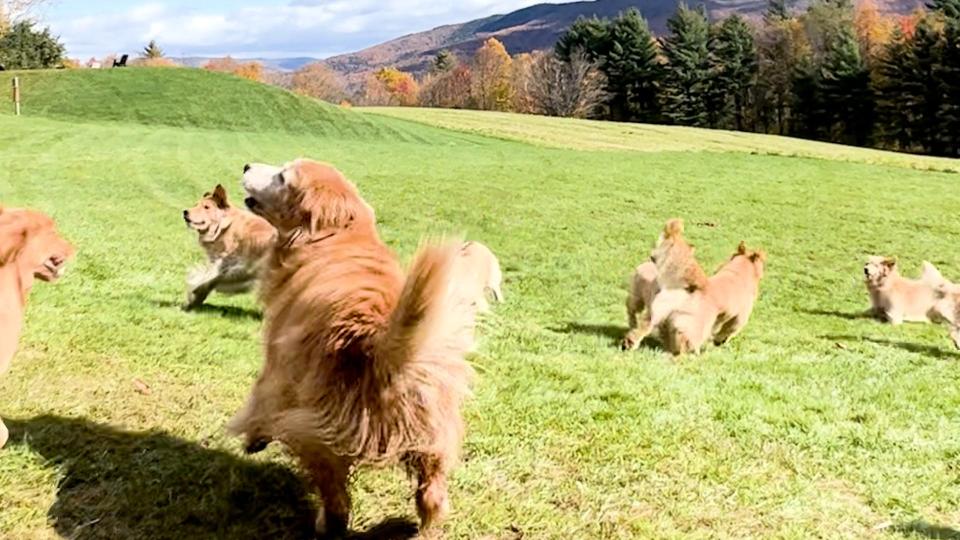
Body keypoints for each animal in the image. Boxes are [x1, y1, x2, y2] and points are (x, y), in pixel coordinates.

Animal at [226, 157, 480, 536]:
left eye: (283, 176)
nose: (246, 165)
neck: (337, 236)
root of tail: (379, 346)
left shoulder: (279, 365)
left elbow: (261, 400)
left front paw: (253, 438)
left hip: (316, 431)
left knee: (336, 496)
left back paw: (326, 521)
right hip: (434, 435)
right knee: (432, 491)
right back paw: (426, 524)